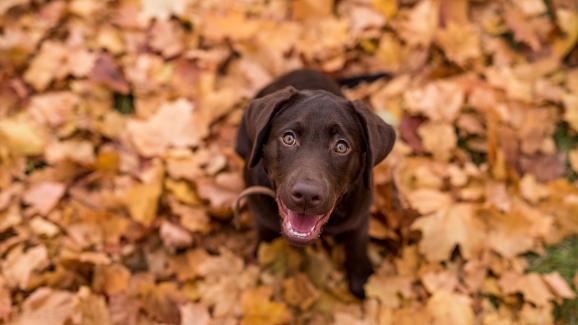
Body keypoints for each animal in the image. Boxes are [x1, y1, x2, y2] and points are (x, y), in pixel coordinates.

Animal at [234, 69, 396, 298]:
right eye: (289, 138)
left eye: (341, 147)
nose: (307, 195)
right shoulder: (260, 212)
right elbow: (265, 236)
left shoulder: (360, 216)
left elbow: (357, 245)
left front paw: (361, 280)